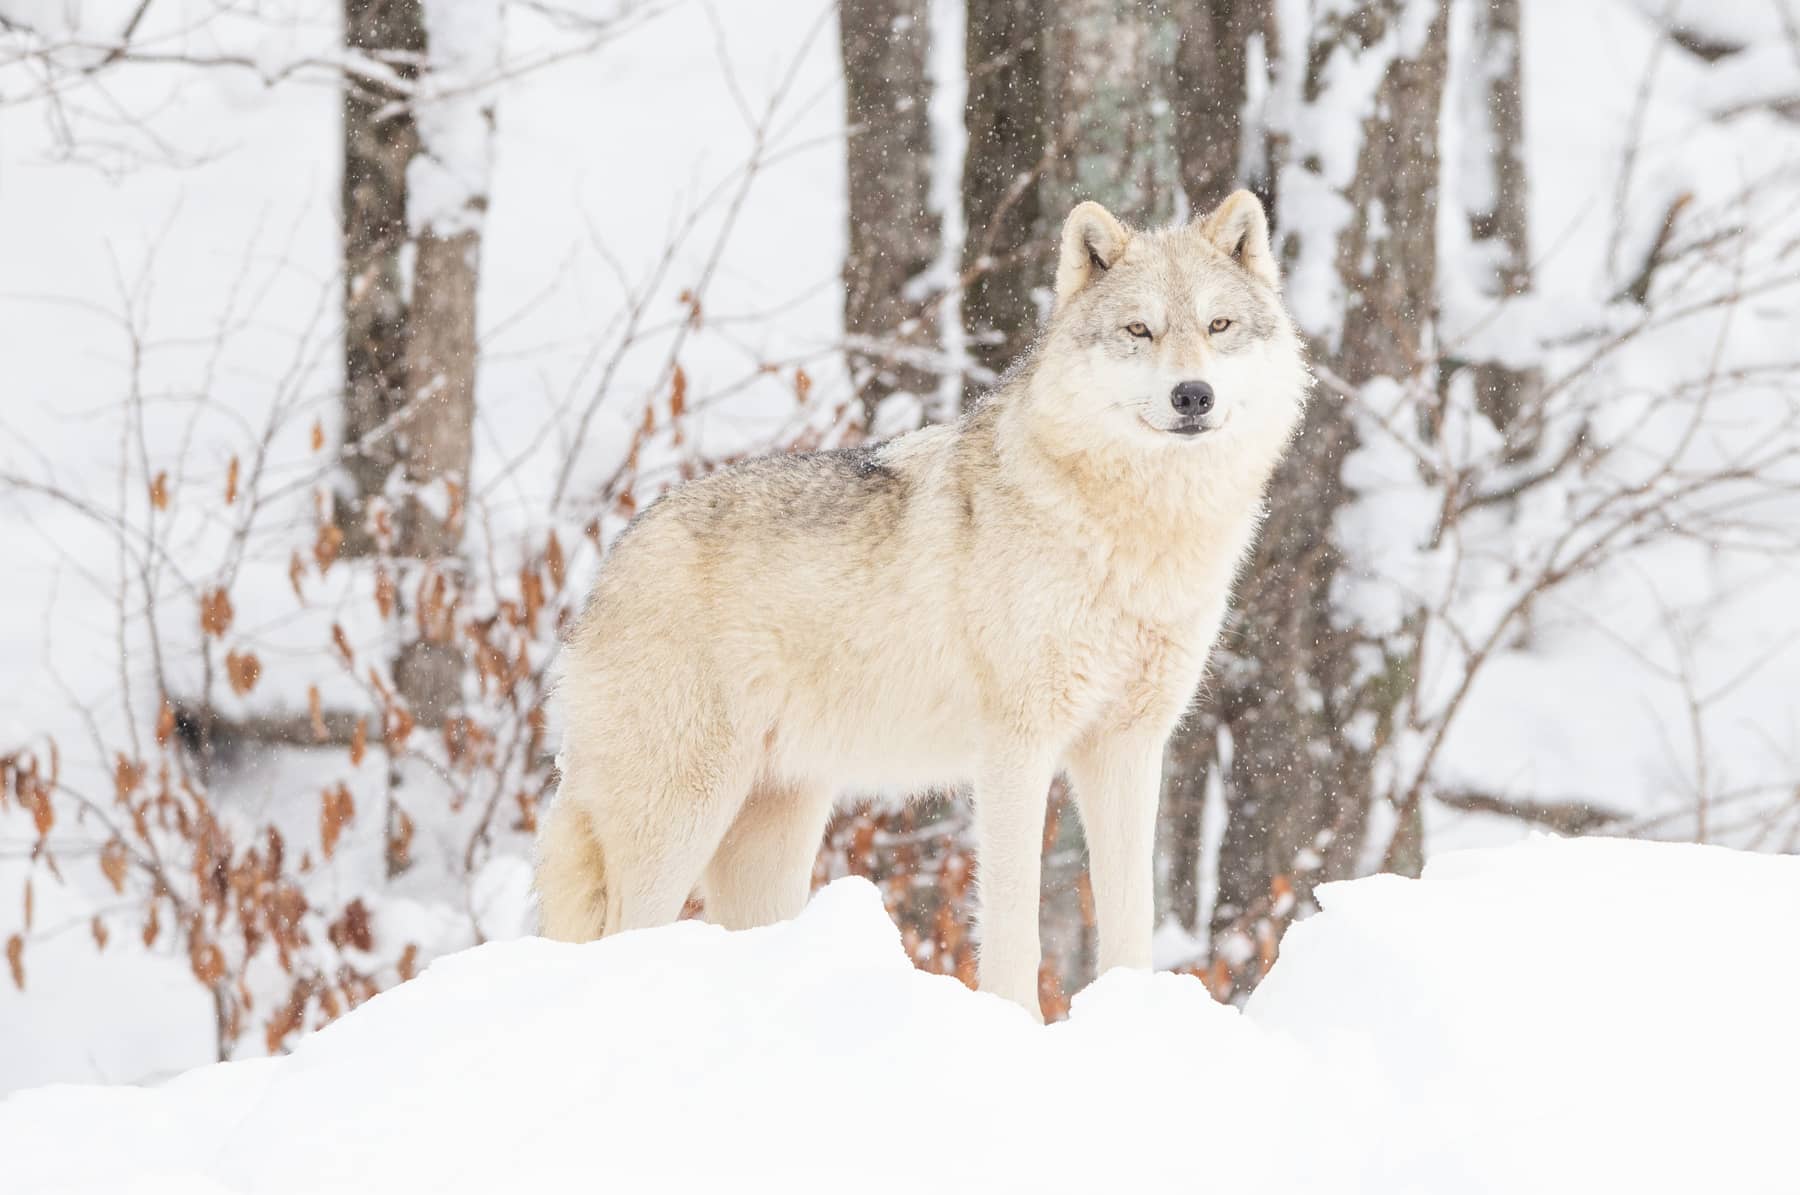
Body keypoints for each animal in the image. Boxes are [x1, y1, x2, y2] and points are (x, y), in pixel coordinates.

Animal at [536, 190, 1308, 1016]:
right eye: (1140, 330)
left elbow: (1131, 918)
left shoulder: (1127, 746)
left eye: (1218, 326)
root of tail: (607, 570)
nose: (1192, 395)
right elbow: (1015, 927)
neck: (1136, 535)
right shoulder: (1016, 748)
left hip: (771, 835)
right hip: (680, 818)